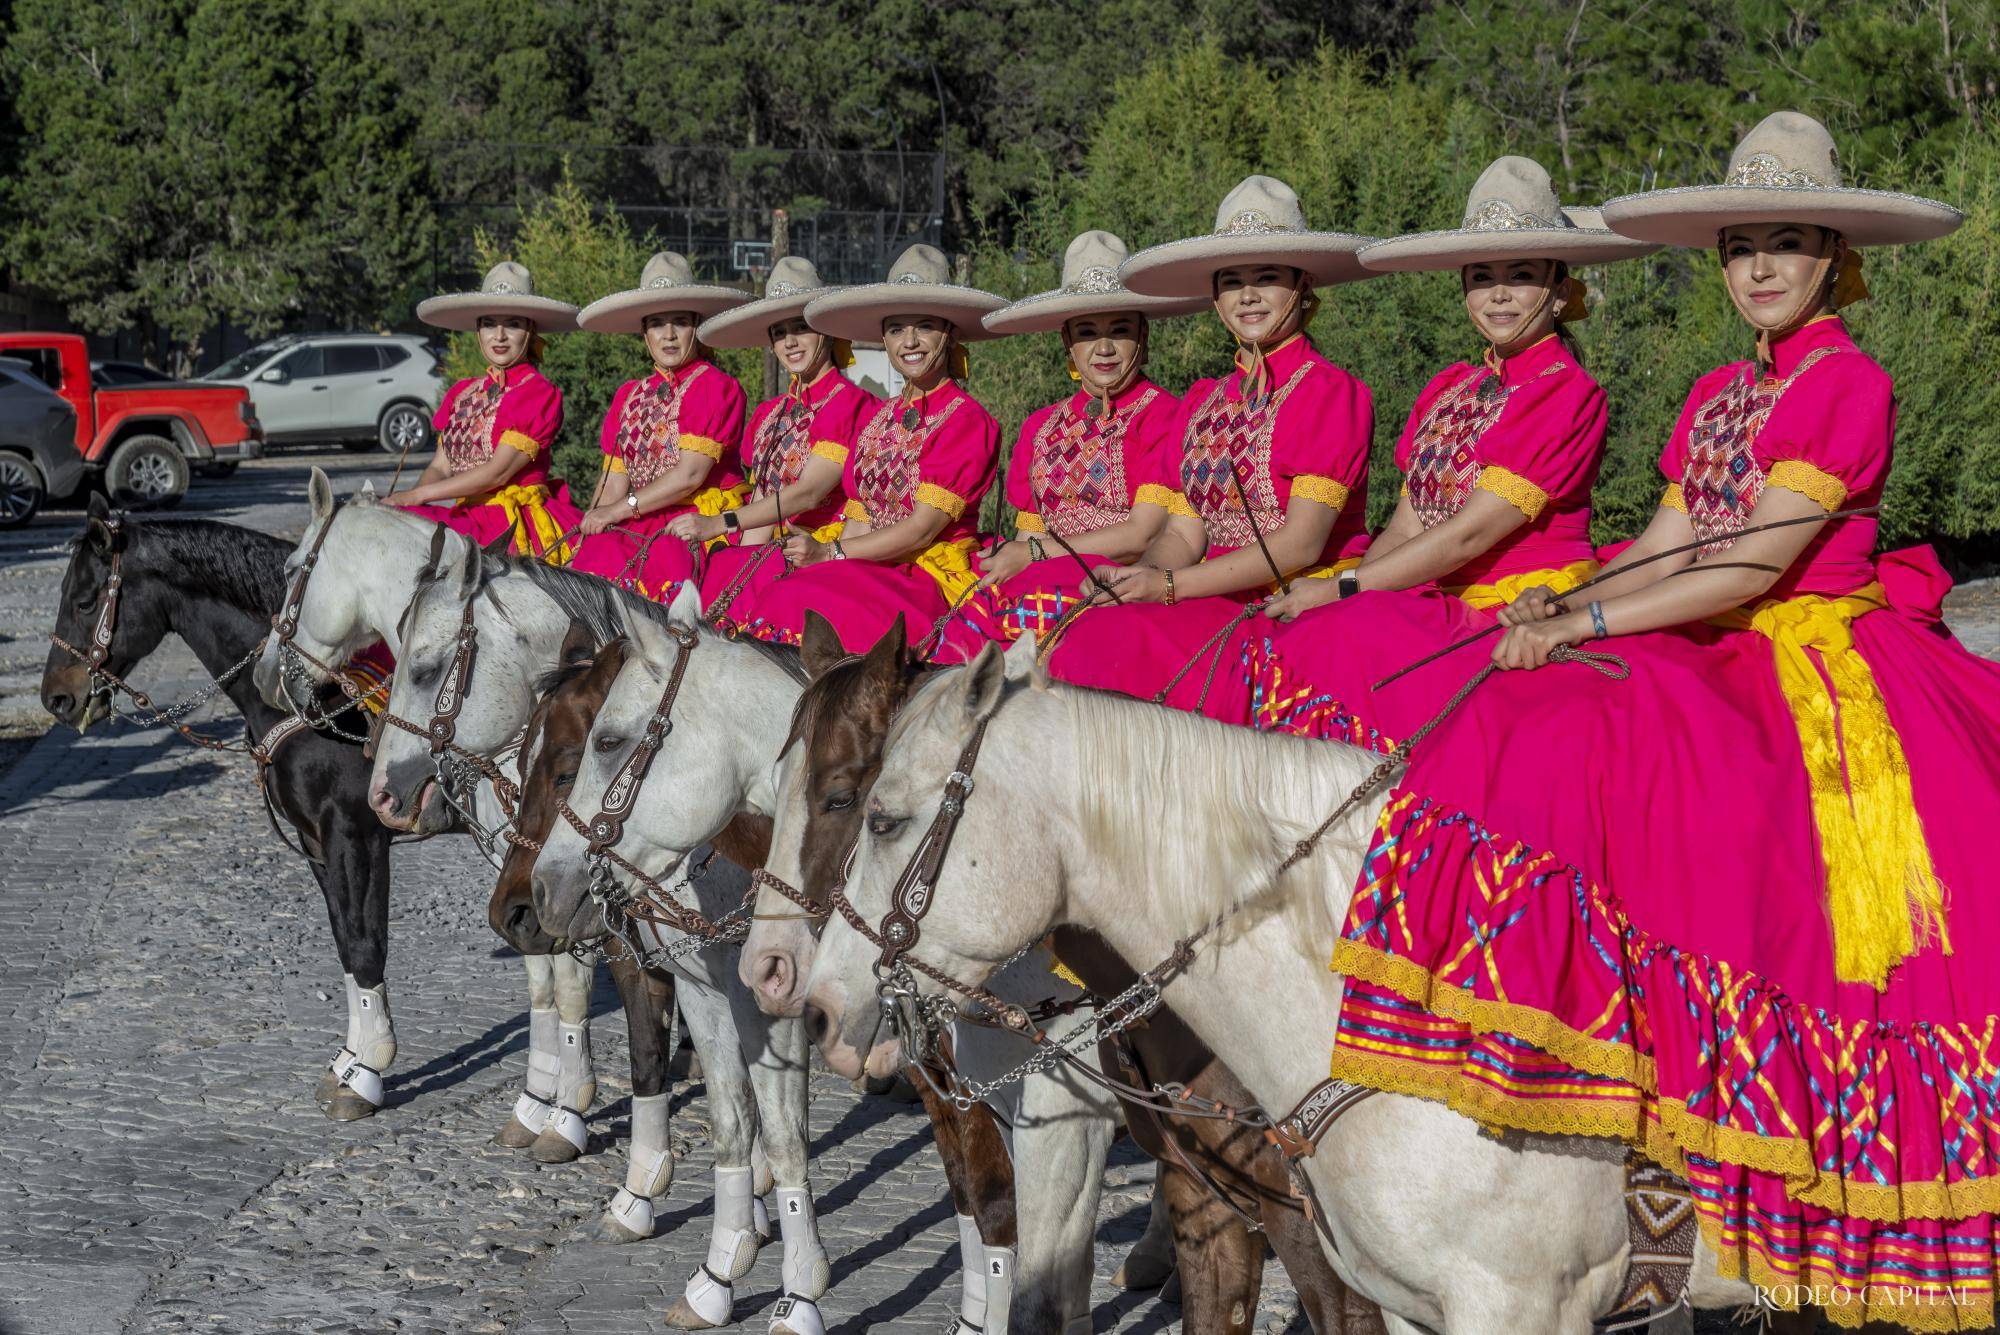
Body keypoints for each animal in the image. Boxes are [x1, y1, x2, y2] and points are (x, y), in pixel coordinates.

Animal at [42, 505, 398, 1119]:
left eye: (85, 601)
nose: (54, 698)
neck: (316, 688)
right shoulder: (317, 842)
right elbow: (344, 942)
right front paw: (348, 1063)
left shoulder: (357, 834)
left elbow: (364, 942)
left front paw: (368, 1072)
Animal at [247, 469, 596, 1135]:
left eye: (292, 568)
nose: (266, 674)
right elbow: (540, 972)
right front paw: (538, 1103)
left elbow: (567, 973)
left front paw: (567, 1113)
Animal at [524, 587, 1128, 1335]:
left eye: (602, 744)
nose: (542, 890)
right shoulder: (723, 994)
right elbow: (746, 1125)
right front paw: (724, 1270)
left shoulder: (1050, 1096)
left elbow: (1004, 1215)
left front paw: (796, 1286)